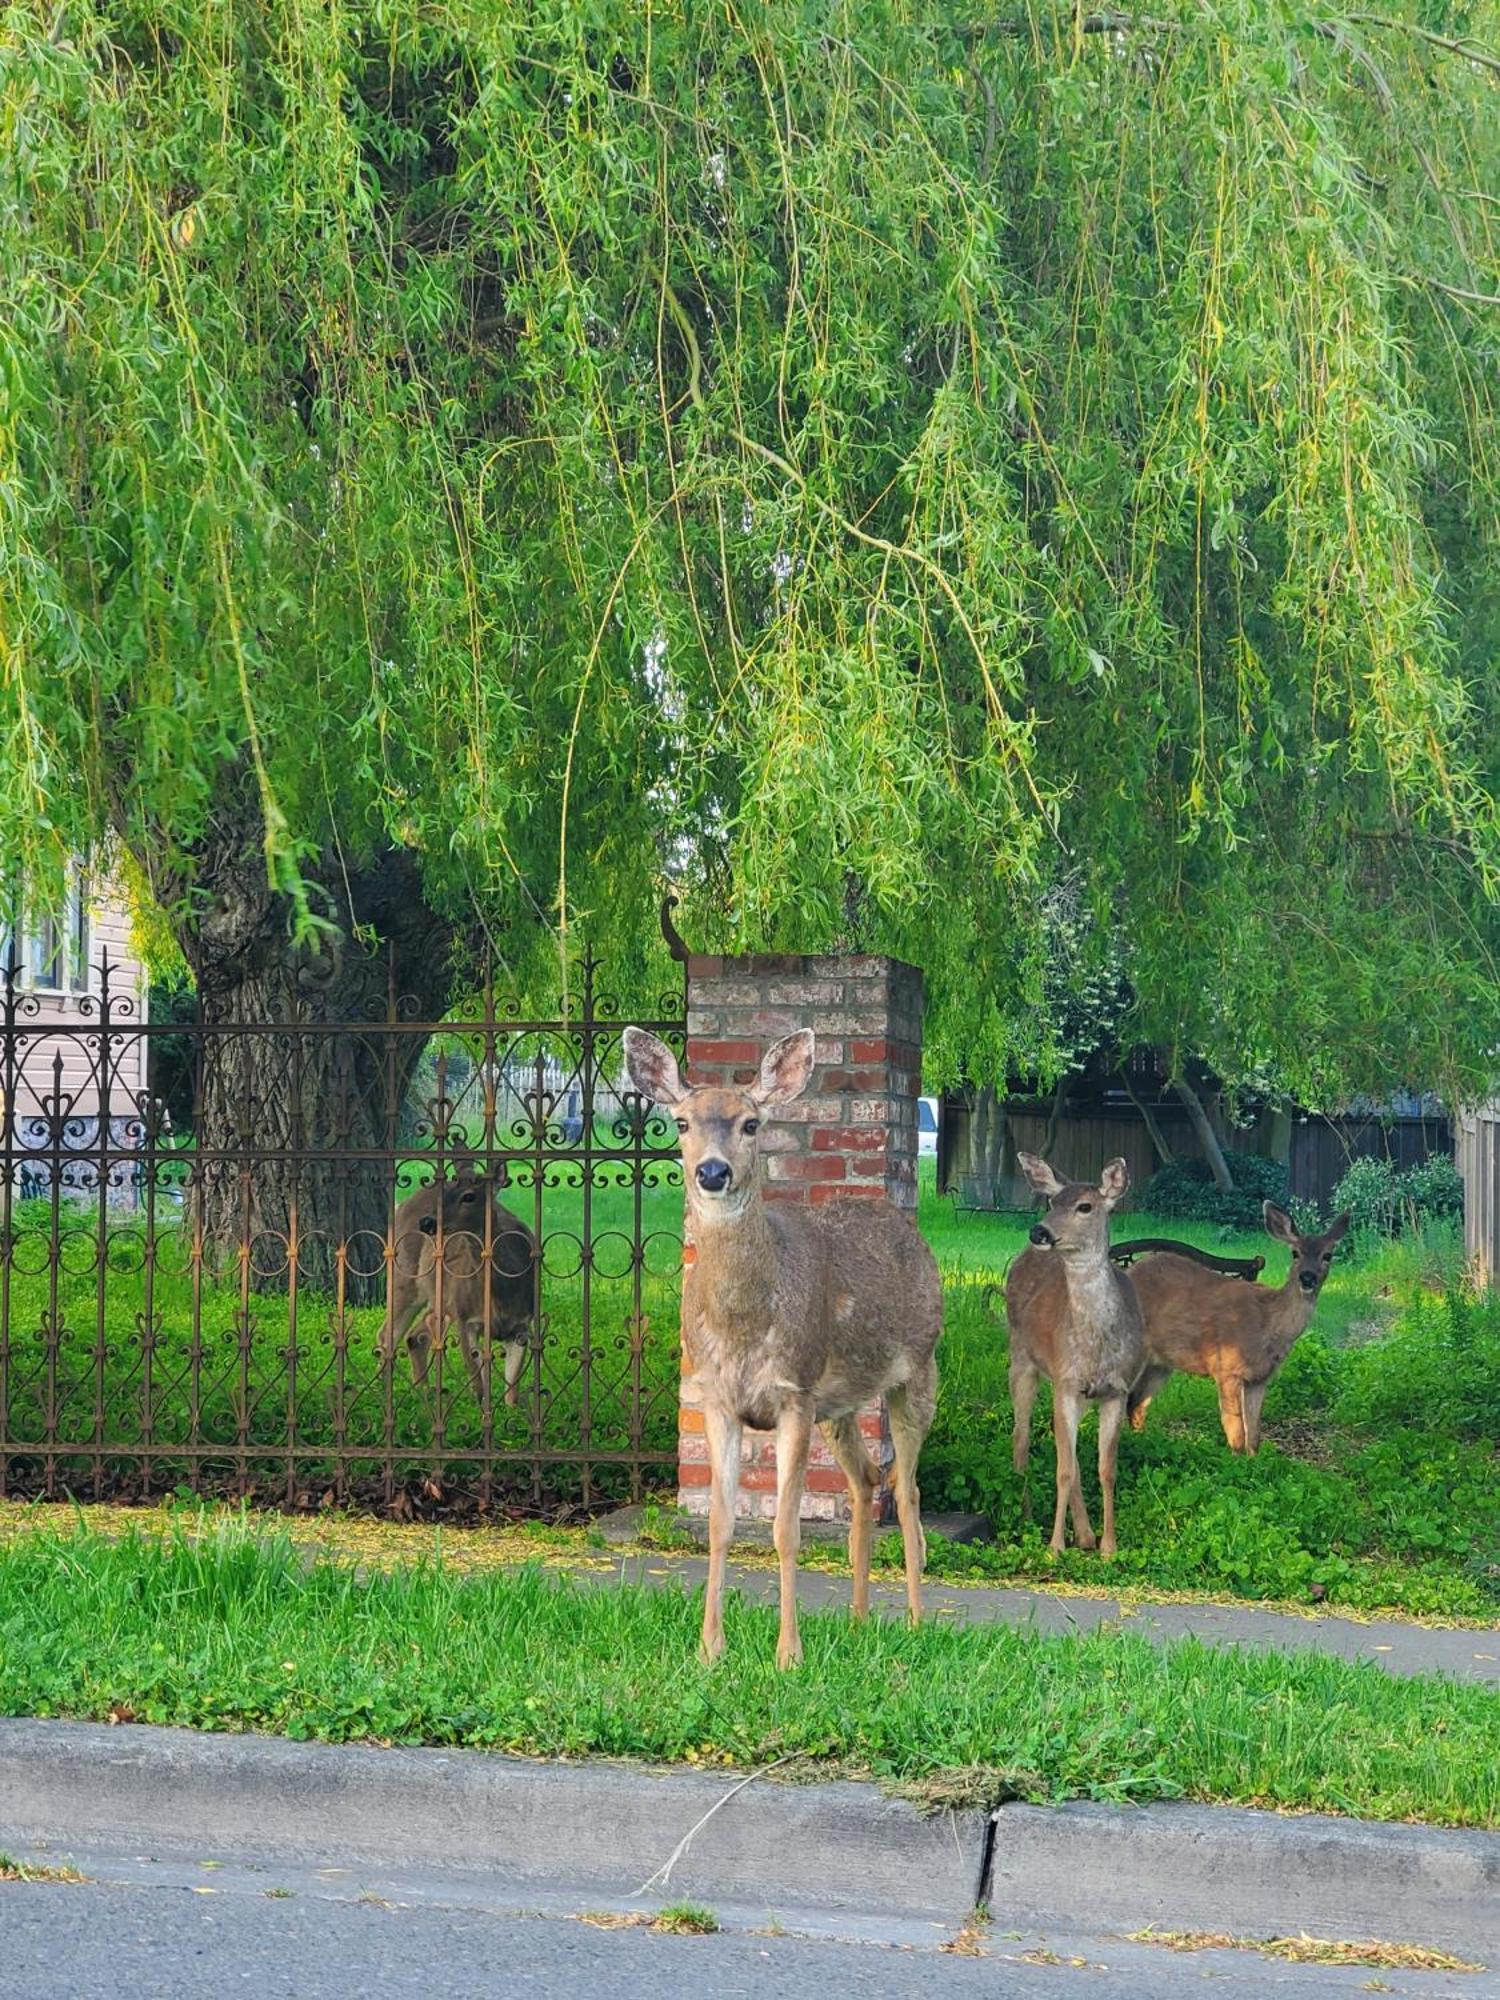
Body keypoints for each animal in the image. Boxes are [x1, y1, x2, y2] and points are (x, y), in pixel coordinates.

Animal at [382, 1152, 540, 1416]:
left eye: (469, 1196)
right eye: (446, 1189)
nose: (427, 1222)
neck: (502, 1296)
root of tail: (401, 1205)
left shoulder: (522, 1325)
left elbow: (512, 1392)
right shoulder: (465, 1318)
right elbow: (479, 1386)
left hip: (438, 1299)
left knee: (415, 1336)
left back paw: (423, 1392)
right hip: (404, 1278)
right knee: (387, 1334)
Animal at [628, 1024, 944, 1664]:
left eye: (751, 1123)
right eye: (681, 1122)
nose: (713, 1172)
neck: (745, 1322)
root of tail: (909, 1229)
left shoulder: (793, 1391)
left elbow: (786, 1529)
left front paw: (788, 1654)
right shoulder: (716, 1397)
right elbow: (720, 1522)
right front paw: (710, 1649)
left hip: (918, 1370)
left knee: (907, 1492)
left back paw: (916, 1622)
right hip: (839, 1404)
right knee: (866, 1480)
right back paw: (858, 1621)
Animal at [1012, 1160, 1152, 1560]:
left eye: (1085, 1206)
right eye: (1051, 1201)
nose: (1039, 1231)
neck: (1096, 1347)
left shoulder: (1116, 1390)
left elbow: (1105, 1469)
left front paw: (1109, 1546)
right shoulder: (1067, 1381)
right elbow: (1062, 1469)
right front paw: (1055, 1546)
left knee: (1062, 1443)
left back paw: (1086, 1534)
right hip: (1022, 1358)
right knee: (1021, 1437)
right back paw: (1029, 1517)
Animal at [1120, 1200, 1360, 1456]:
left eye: (1328, 1255)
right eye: (1295, 1253)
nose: (1307, 1277)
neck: (1268, 1325)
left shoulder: (1259, 1378)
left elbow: (1253, 1436)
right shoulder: (1226, 1368)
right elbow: (1236, 1436)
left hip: (1162, 1362)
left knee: (1136, 1403)